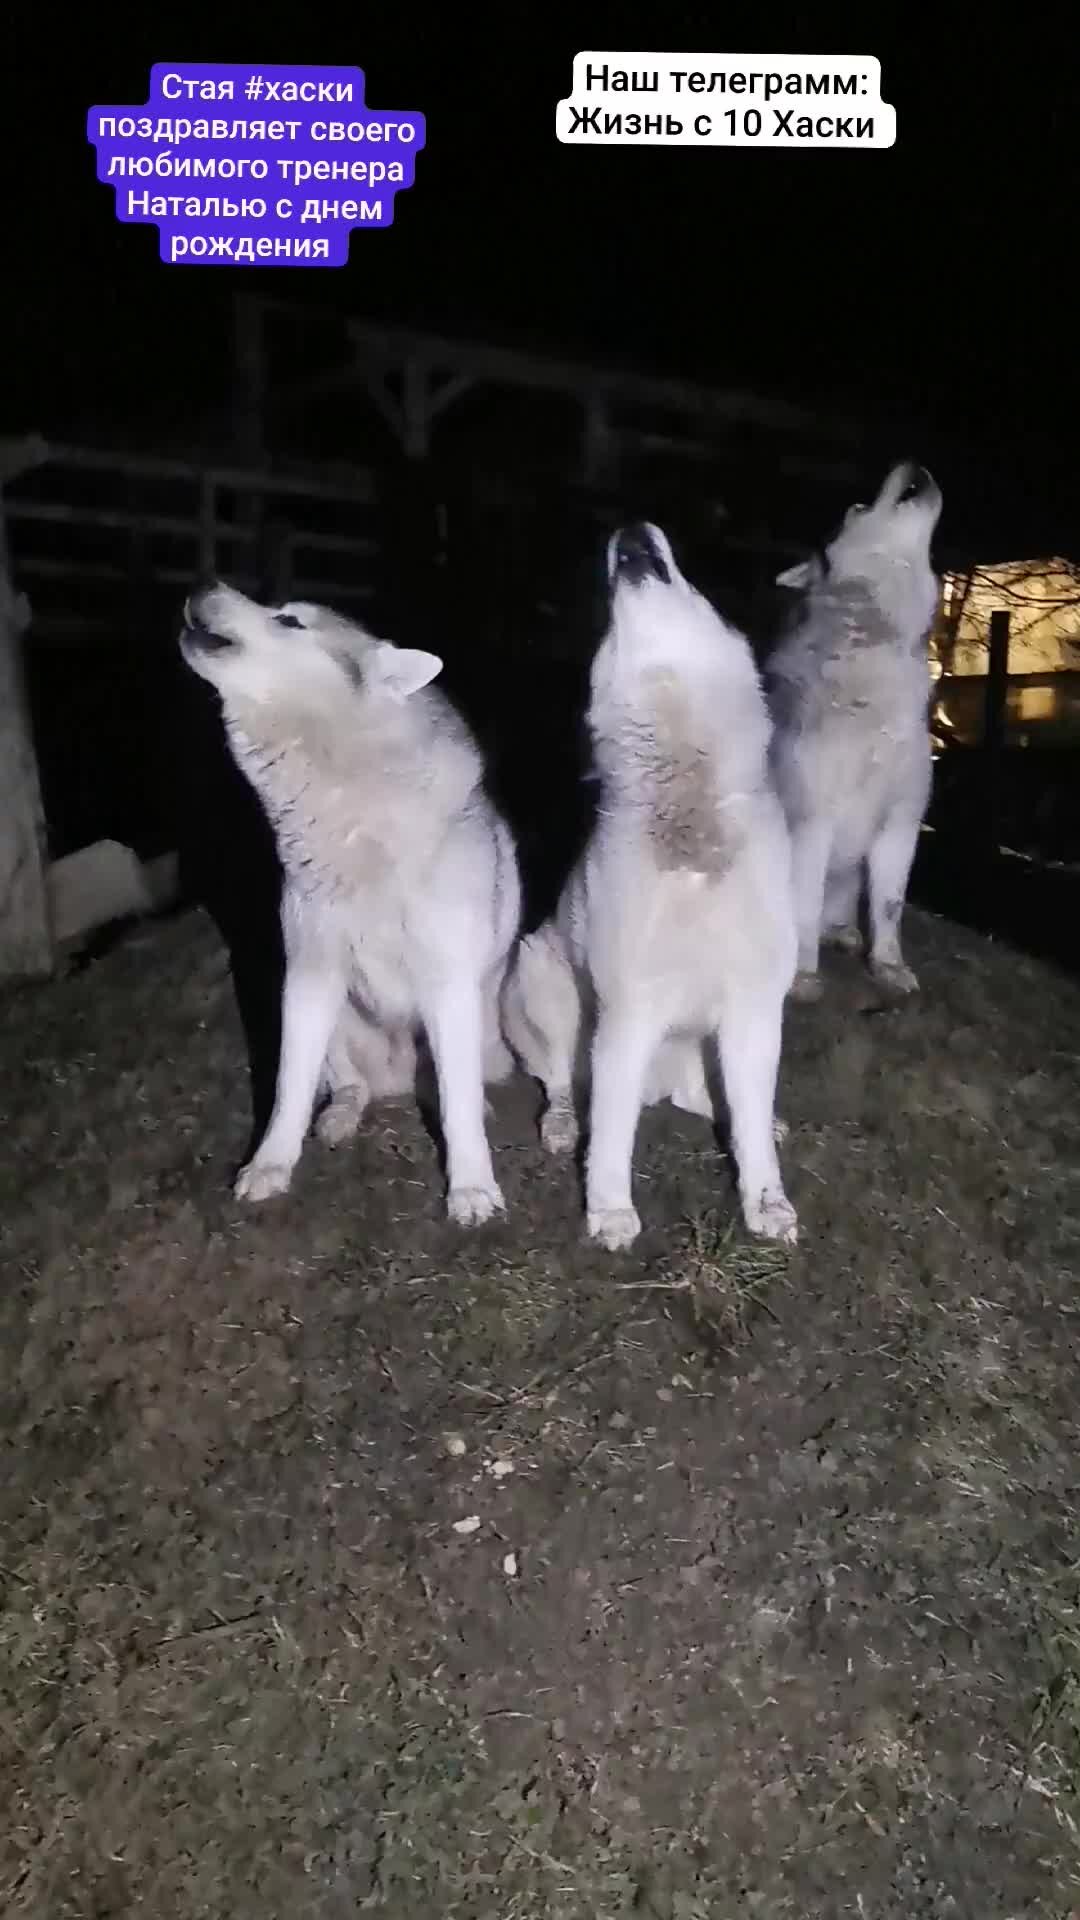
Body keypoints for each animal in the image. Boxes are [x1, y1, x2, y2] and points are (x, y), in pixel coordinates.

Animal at [178, 576, 518, 1221]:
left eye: (289, 621)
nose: (203, 584)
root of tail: (398, 1081)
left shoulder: (448, 983)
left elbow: (458, 1106)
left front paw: (472, 1187)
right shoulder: (309, 974)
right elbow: (287, 1089)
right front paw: (271, 1165)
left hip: (478, 1024)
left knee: (461, 1085)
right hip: (332, 1020)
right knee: (349, 1086)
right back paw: (340, 1114)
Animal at [499, 518, 795, 1251]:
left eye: (699, 589)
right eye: (605, 618)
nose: (631, 530)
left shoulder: (754, 1008)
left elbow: (750, 1128)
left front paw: (767, 1201)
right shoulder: (627, 1012)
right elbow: (610, 1135)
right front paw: (608, 1211)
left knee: (713, 1101)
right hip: (542, 977)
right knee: (560, 1082)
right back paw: (560, 1123)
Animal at [764, 464, 941, 1006]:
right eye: (857, 508)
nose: (913, 463)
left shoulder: (902, 821)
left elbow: (890, 906)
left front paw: (888, 966)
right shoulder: (810, 821)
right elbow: (801, 910)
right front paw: (802, 977)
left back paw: (842, 931)